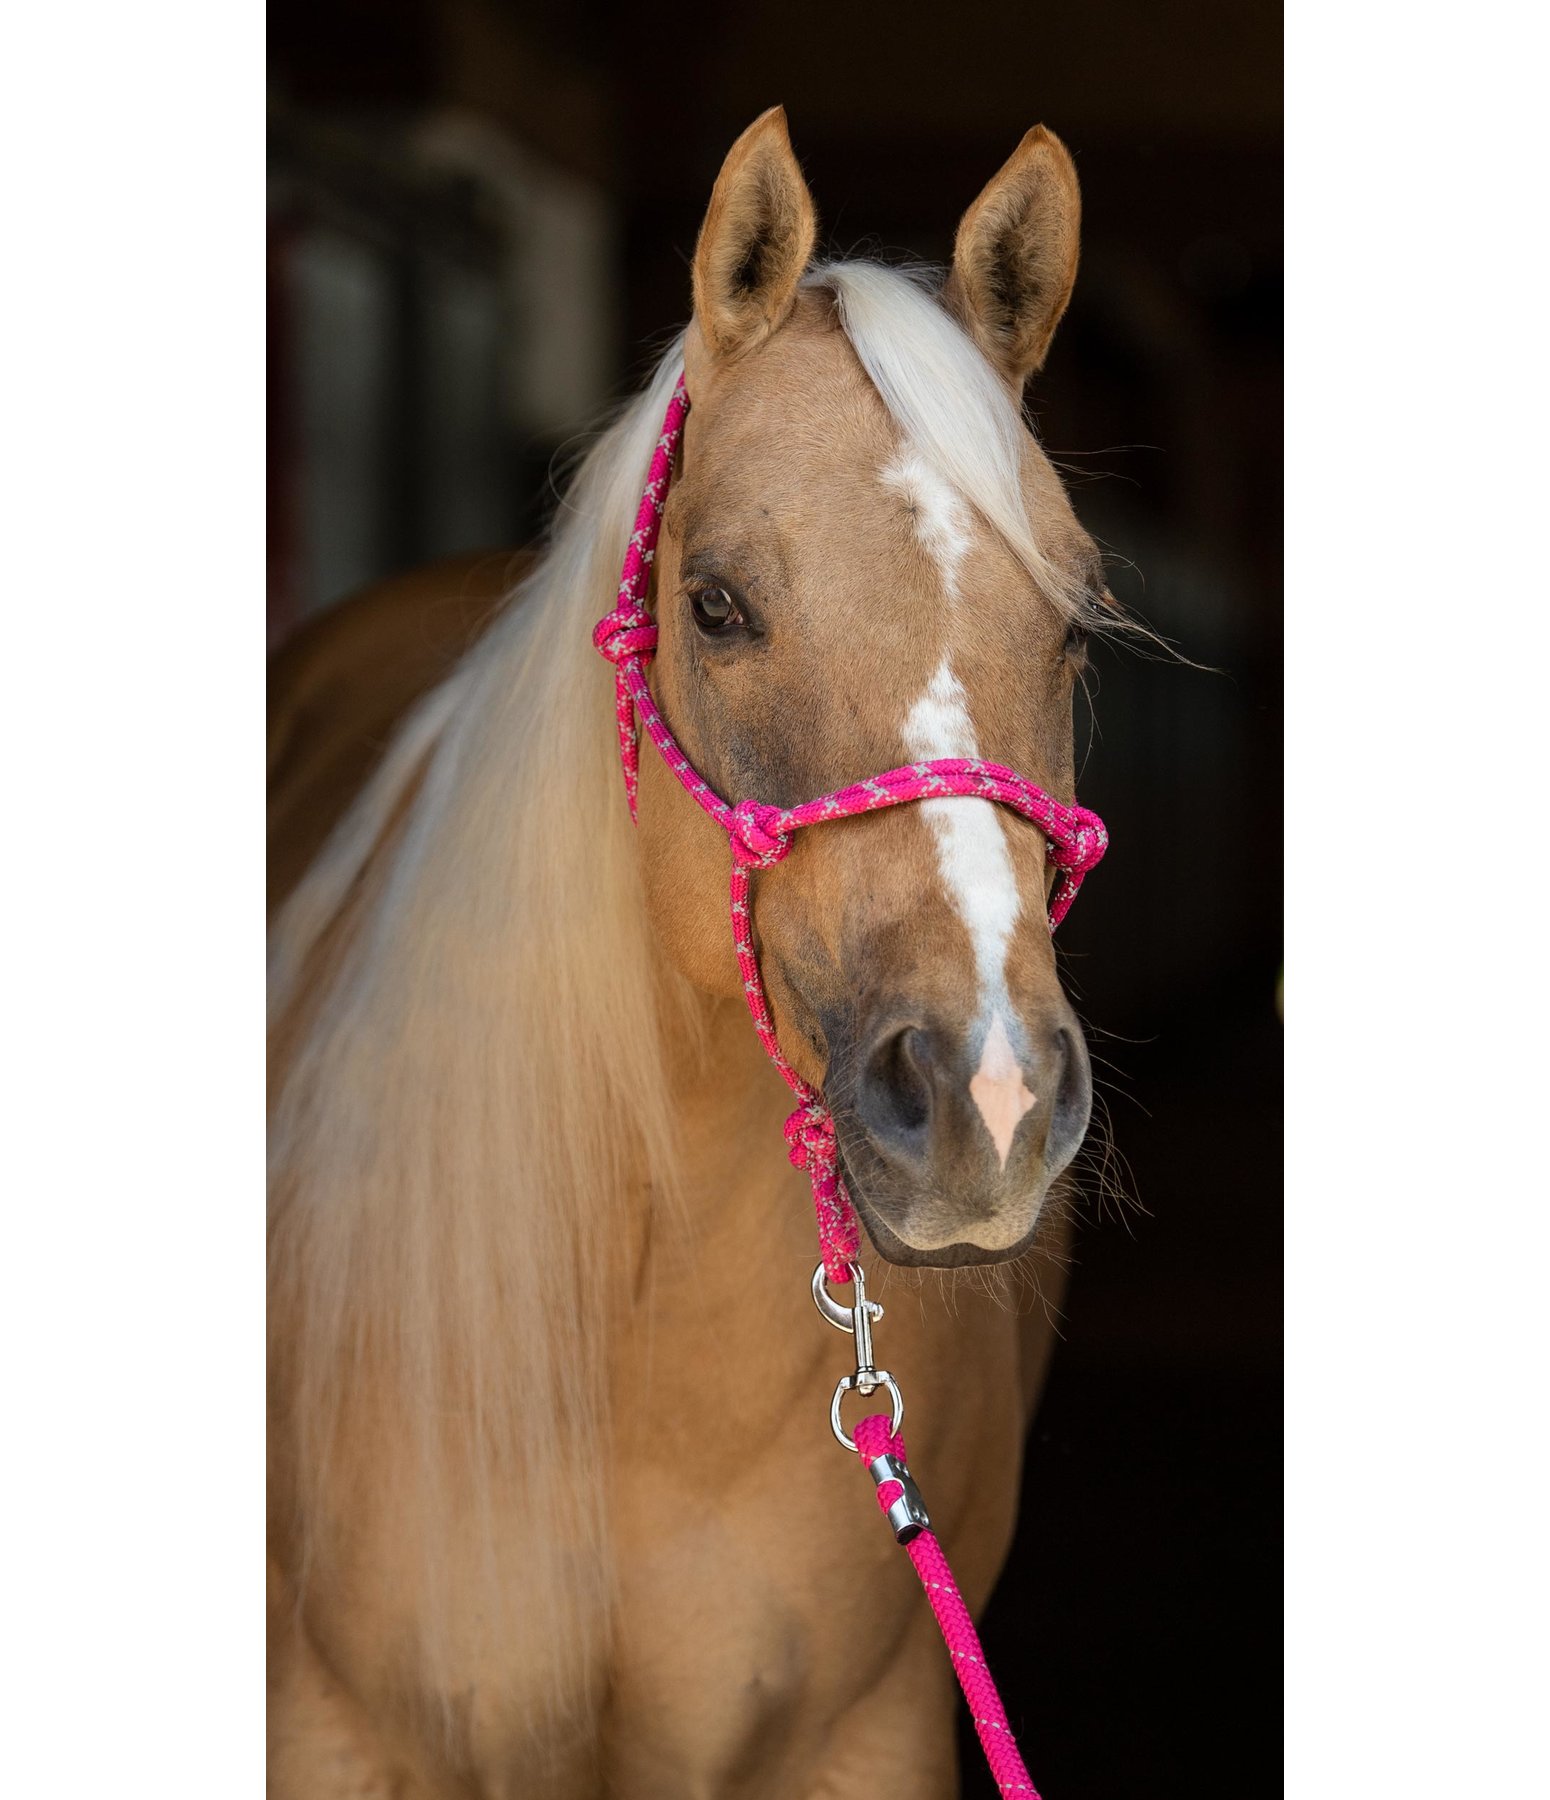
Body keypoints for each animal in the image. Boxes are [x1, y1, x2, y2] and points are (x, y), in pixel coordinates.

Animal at [269, 105, 1117, 1797]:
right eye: (715, 606)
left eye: (1066, 625)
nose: (983, 1099)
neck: (625, 1322)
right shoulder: (330, 1732)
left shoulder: (865, 1737)